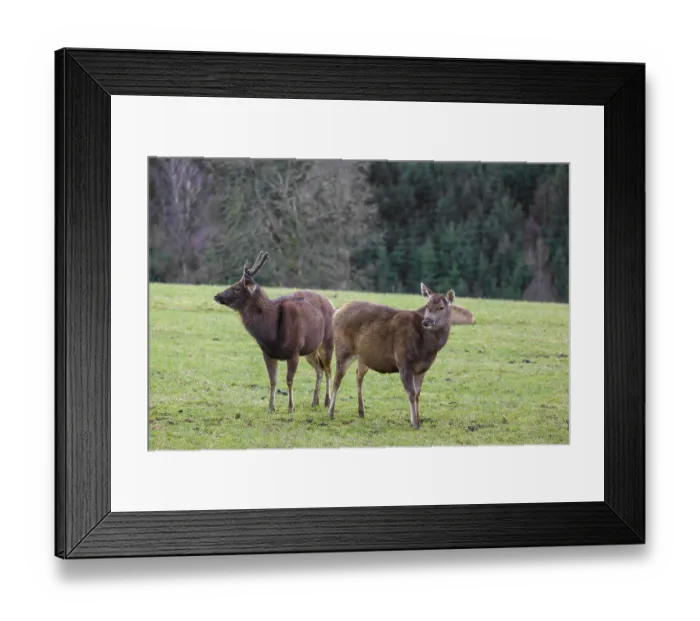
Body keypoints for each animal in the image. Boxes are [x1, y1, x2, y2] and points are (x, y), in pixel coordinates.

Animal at [214, 251, 335, 414]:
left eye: (237, 288)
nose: (217, 296)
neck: (271, 334)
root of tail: (331, 304)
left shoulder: (294, 351)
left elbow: (289, 380)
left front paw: (290, 407)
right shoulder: (267, 353)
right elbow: (272, 380)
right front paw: (271, 407)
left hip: (328, 340)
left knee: (328, 369)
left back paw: (327, 401)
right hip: (310, 349)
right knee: (319, 369)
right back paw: (314, 402)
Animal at [328, 282, 464, 430]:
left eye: (441, 307)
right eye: (427, 305)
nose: (426, 321)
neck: (427, 348)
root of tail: (337, 311)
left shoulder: (422, 369)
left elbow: (418, 394)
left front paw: (419, 419)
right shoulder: (403, 362)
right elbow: (411, 393)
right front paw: (414, 423)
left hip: (364, 357)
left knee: (358, 375)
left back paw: (361, 412)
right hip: (343, 349)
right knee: (337, 379)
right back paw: (330, 412)